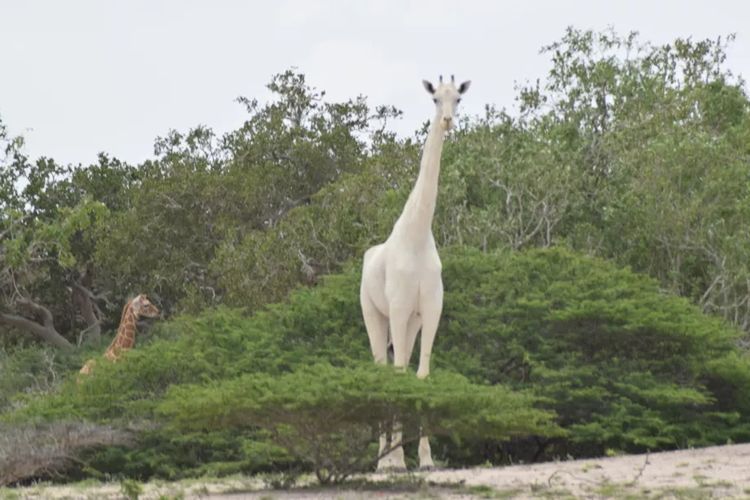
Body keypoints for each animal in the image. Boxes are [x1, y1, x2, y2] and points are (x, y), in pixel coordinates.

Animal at [362, 73, 472, 468]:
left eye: (458, 98)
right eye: (434, 99)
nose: (448, 121)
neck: (418, 234)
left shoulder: (431, 309)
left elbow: (421, 375)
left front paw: (425, 458)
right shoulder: (396, 308)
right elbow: (395, 375)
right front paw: (394, 460)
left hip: (410, 321)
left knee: (401, 363)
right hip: (374, 313)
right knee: (382, 367)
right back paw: (384, 459)